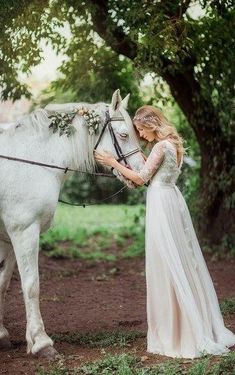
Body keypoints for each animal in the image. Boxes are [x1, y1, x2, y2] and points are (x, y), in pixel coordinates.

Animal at [0, 89, 145, 358]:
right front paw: (41, 342)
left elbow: (2, 283)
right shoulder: (24, 232)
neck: (30, 160)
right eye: (123, 135)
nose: (141, 173)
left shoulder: (7, 236)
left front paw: (1, 334)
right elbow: (31, 285)